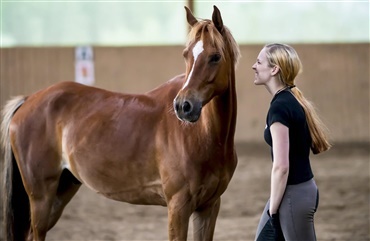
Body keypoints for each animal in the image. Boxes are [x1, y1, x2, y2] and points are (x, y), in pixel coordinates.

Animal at [0, 5, 240, 241]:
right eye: (186, 54)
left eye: (215, 57)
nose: (183, 106)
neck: (202, 136)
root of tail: (28, 100)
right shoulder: (178, 207)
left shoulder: (208, 207)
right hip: (41, 196)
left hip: (62, 190)